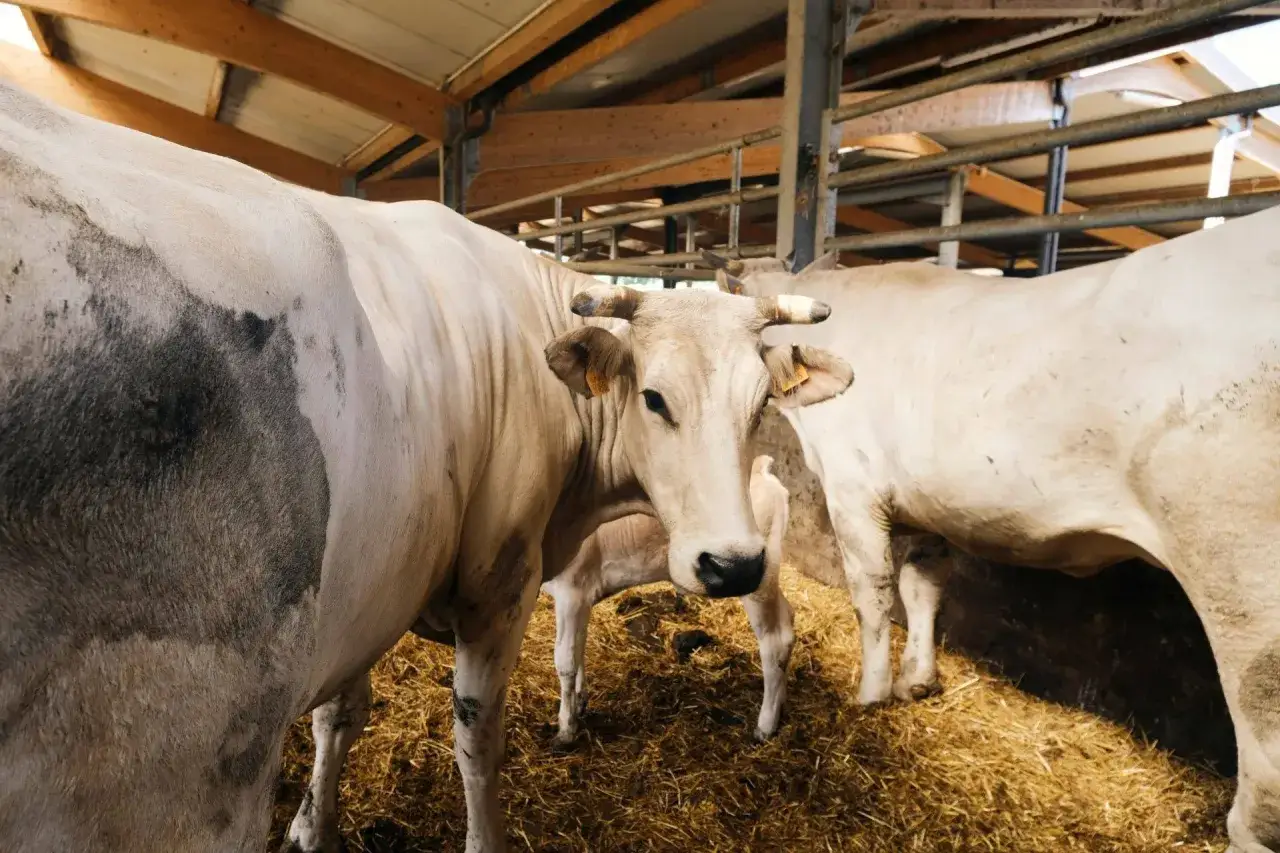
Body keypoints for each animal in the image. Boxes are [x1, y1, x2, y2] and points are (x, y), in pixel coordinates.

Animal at [543, 454, 793, 746]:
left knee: (775, 641)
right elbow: (580, 647)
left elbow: (565, 661)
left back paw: (765, 726)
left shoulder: (571, 591)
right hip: (770, 578)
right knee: (788, 621)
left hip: (756, 582)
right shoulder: (582, 598)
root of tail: (760, 467)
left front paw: (566, 729)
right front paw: (580, 701)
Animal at [709, 204, 1280, 853]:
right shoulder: (922, 502)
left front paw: (871, 694)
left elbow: (872, 595)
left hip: (1242, 581)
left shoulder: (851, 487)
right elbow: (923, 587)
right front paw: (918, 682)